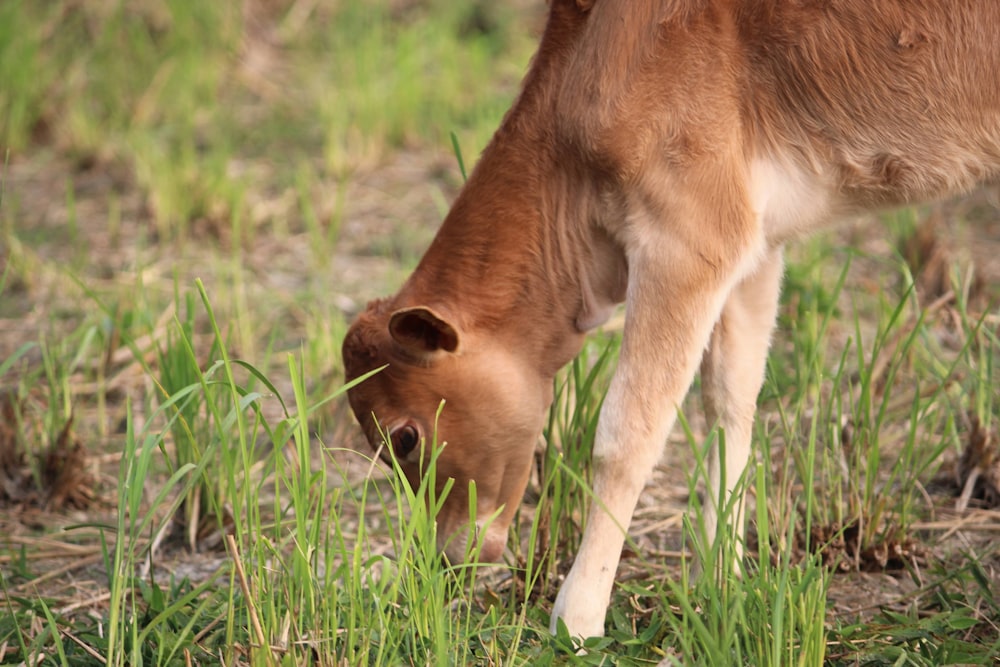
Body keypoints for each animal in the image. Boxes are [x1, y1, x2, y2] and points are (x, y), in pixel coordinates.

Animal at [342, 0, 1000, 640]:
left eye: (404, 437)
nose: (448, 557)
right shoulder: (752, 249)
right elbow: (730, 404)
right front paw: (722, 582)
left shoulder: (686, 238)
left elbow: (625, 437)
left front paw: (576, 619)